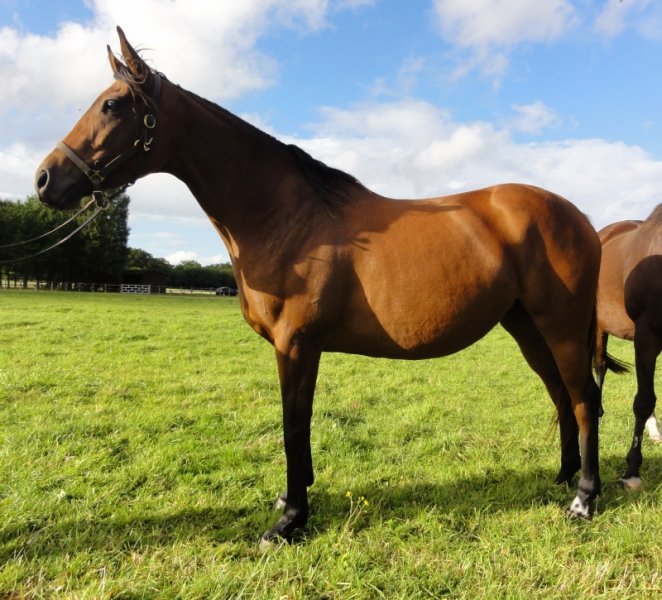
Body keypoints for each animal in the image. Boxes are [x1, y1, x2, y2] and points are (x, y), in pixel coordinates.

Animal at [35, 27, 603, 546]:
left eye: (112, 105)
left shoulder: (297, 345)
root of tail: (579, 217)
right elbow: (297, 431)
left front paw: (289, 523)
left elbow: (294, 427)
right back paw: (562, 476)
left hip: (561, 326)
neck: (285, 217)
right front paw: (293, 499)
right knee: (560, 395)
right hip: (526, 327)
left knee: (583, 398)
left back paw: (584, 498)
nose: (44, 179)